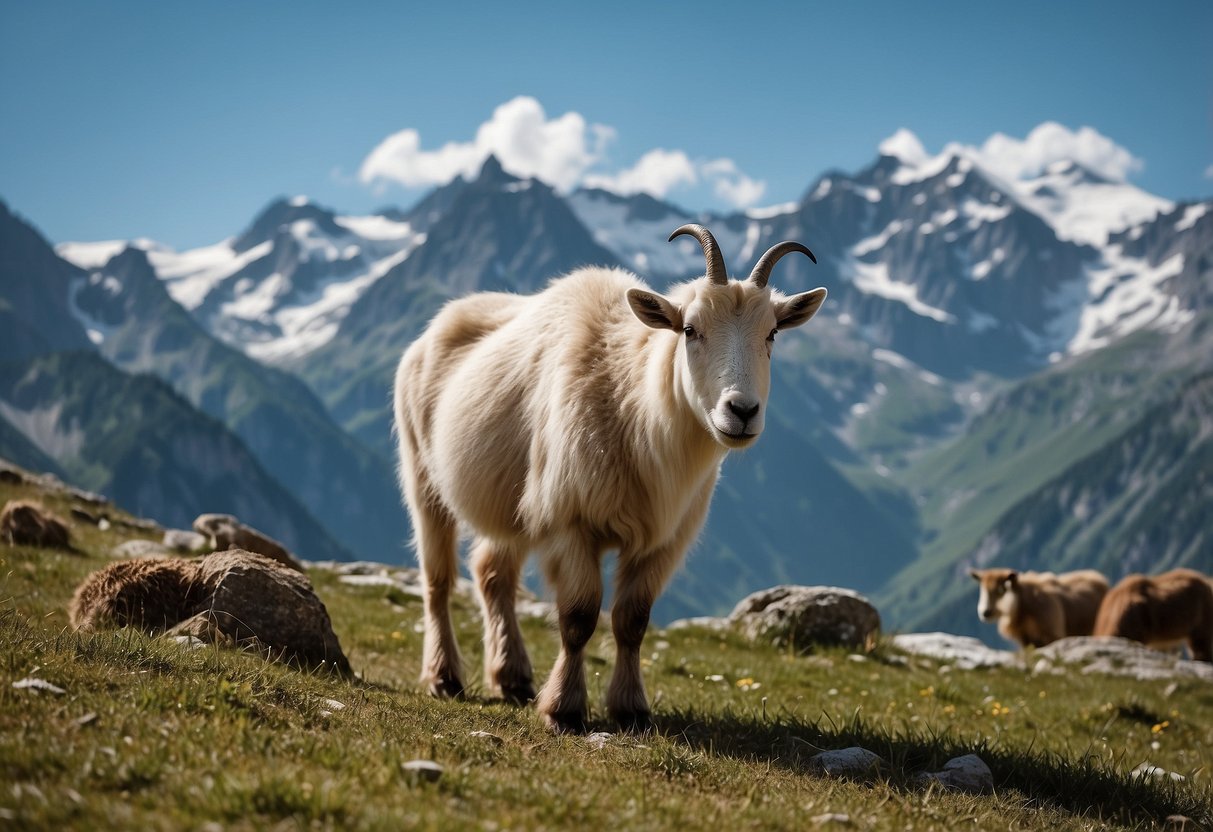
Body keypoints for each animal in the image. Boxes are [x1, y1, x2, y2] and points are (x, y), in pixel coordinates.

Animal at [393, 224, 829, 732]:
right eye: (689, 329)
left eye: (772, 332)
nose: (741, 411)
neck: (629, 402)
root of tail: (434, 329)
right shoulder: (570, 520)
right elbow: (579, 617)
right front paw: (563, 709)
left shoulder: (663, 537)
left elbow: (632, 620)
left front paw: (630, 708)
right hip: (423, 477)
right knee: (438, 580)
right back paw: (444, 677)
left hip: (512, 504)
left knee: (492, 573)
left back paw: (513, 678)